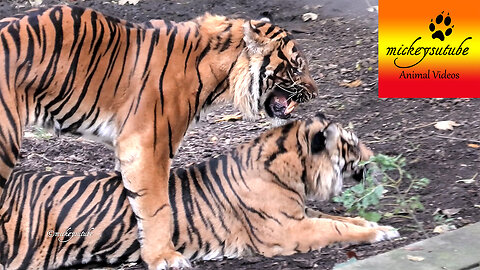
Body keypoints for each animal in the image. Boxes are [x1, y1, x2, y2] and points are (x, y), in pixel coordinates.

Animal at [0, 4, 318, 268]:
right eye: (296, 66)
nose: (315, 93)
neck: (219, 73)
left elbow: (128, 200)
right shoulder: (147, 145)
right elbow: (157, 206)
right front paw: (165, 256)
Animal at [0, 114, 400, 270]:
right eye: (352, 144)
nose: (374, 156)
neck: (294, 175)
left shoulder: (301, 214)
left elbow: (342, 218)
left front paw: (374, 224)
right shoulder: (287, 230)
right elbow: (337, 227)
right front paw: (382, 231)